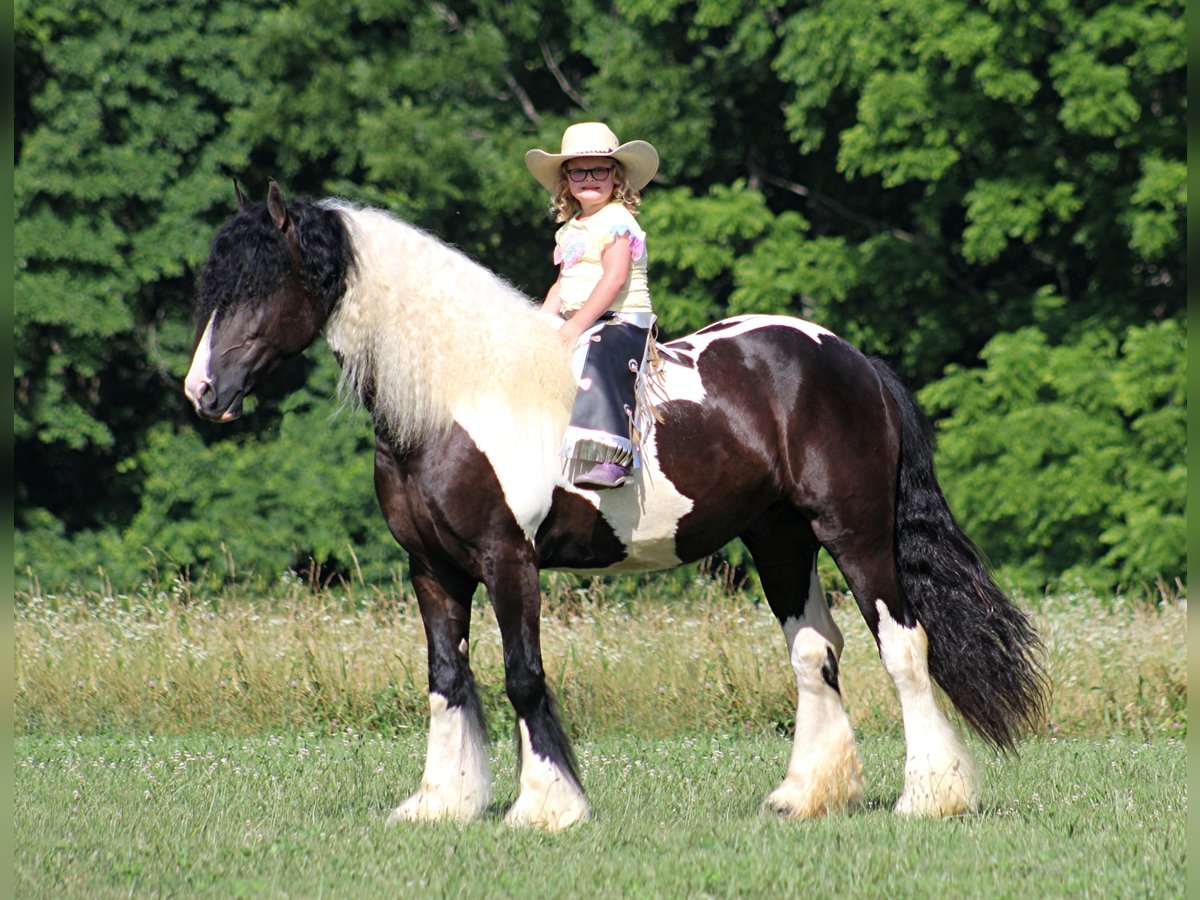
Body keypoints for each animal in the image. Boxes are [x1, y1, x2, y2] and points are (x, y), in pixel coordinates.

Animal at [182, 181, 1046, 830]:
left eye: (261, 285)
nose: (201, 391)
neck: (458, 397)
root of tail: (848, 357)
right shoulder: (433, 569)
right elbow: (444, 677)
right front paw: (441, 803)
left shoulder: (508, 559)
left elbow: (522, 675)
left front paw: (546, 807)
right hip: (779, 540)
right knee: (814, 650)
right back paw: (805, 796)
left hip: (854, 532)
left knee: (903, 645)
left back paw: (930, 797)